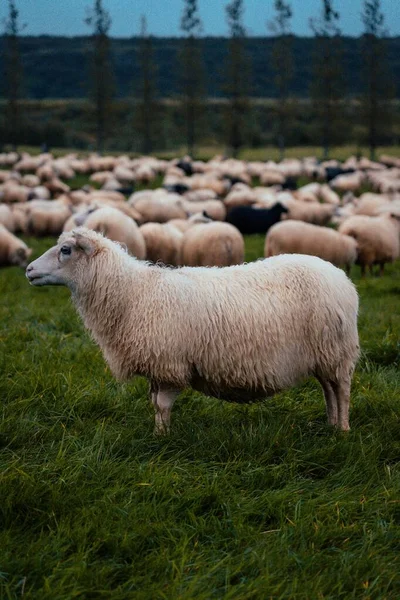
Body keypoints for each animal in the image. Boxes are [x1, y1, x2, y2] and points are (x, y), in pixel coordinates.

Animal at [26, 229, 360, 432]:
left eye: (66, 250)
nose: (28, 270)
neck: (132, 294)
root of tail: (341, 277)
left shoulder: (170, 364)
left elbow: (162, 405)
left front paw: (162, 438)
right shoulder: (156, 366)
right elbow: (154, 404)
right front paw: (158, 433)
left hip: (336, 350)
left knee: (341, 390)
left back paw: (343, 430)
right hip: (324, 354)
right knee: (328, 389)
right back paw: (331, 424)